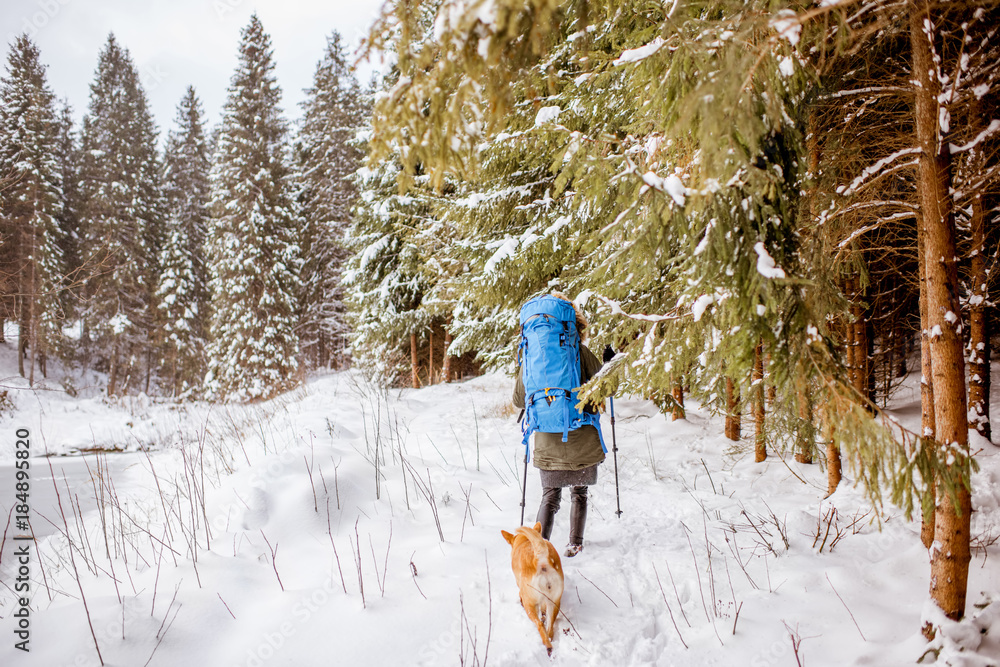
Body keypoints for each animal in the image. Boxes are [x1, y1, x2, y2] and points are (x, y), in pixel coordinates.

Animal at [500, 520, 564, 652]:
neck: (525, 540)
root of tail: (540, 559)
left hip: (530, 604)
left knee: (539, 624)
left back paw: (547, 645)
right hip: (554, 602)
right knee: (550, 627)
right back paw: (550, 640)